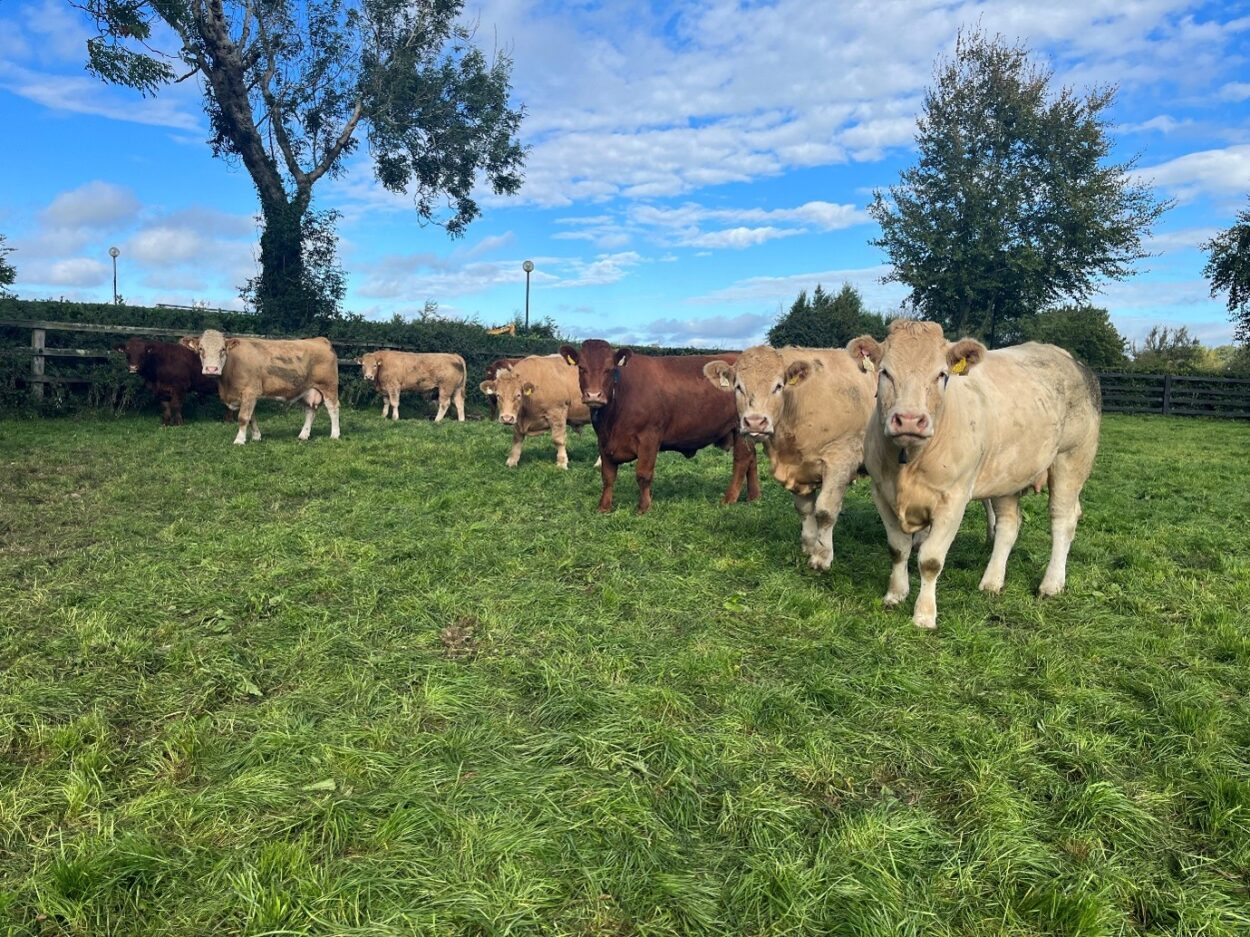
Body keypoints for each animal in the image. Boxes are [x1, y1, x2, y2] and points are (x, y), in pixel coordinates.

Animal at [180, 329, 341, 445]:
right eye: (201, 349)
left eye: (223, 349)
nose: (211, 369)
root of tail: (319, 339)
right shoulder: (247, 396)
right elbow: (251, 417)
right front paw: (256, 437)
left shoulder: (249, 392)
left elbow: (243, 417)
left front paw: (239, 440)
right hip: (307, 389)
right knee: (310, 411)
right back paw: (303, 435)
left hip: (329, 387)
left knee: (333, 408)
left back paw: (335, 434)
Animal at [559, 340, 761, 514]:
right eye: (581, 368)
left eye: (610, 369)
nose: (594, 395)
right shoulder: (603, 440)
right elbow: (608, 476)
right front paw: (603, 507)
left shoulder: (649, 437)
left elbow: (643, 474)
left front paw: (643, 507)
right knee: (752, 459)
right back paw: (753, 497)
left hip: (739, 428)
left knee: (742, 460)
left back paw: (729, 499)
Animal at [704, 345, 875, 570]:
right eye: (738, 387)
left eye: (778, 386)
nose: (755, 422)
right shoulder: (796, 469)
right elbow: (804, 509)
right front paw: (809, 546)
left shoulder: (841, 459)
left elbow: (825, 511)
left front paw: (822, 556)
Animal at [848, 319, 1101, 630]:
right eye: (885, 372)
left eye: (941, 374)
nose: (909, 420)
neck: (909, 460)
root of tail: (1068, 358)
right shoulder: (882, 493)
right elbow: (898, 549)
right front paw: (895, 595)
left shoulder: (953, 500)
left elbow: (930, 560)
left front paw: (924, 615)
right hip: (1007, 475)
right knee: (1009, 525)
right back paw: (992, 581)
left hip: (1071, 460)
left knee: (1063, 520)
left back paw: (1051, 584)